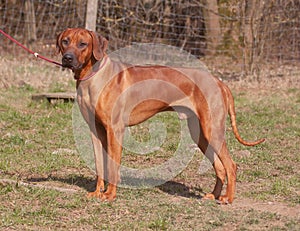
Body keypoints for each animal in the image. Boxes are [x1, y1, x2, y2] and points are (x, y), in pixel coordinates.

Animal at [56, 28, 264, 203]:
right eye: (65, 41)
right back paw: (214, 195)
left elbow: (113, 167)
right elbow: (101, 166)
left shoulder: (115, 130)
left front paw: (110, 194)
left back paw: (228, 198)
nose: (67, 58)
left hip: (212, 130)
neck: (93, 77)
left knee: (231, 165)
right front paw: (98, 192)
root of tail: (219, 82)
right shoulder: (96, 131)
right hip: (201, 134)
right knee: (220, 167)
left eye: (83, 44)